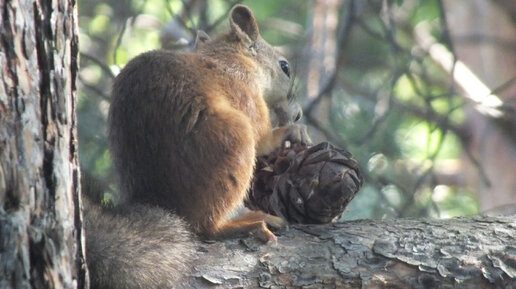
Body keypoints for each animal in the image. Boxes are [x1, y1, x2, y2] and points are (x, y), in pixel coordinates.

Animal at [85, 4, 310, 288]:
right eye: (285, 67)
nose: (298, 114)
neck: (228, 58)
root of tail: (162, 202)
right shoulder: (245, 93)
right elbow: (263, 140)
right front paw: (291, 132)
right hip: (234, 139)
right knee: (206, 228)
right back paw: (247, 222)